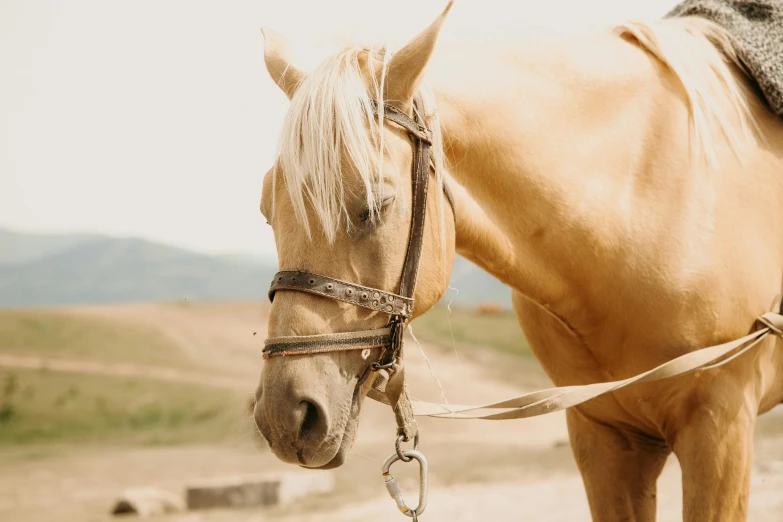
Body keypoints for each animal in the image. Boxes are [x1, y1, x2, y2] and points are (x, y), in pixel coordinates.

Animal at [254, 2, 783, 516]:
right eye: (265, 210)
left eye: (375, 203)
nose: (286, 416)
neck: (648, 205)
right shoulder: (604, 435)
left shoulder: (719, 431)